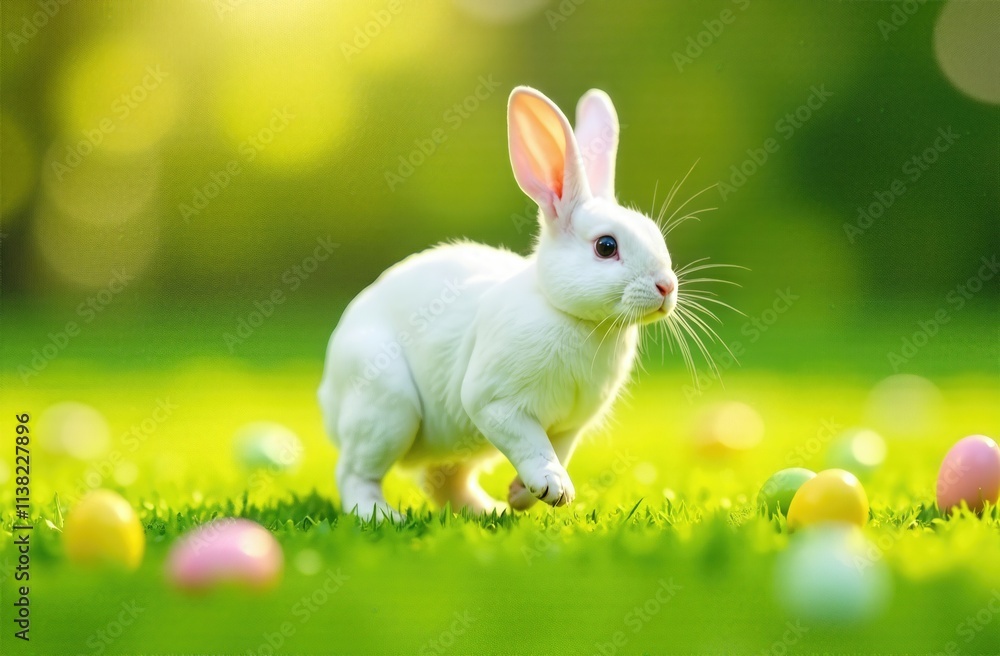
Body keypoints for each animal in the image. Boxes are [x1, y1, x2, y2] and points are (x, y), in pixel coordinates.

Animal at [318, 86, 679, 520]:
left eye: (655, 233)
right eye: (606, 246)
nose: (666, 287)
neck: (571, 316)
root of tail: (327, 393)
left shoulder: (568, 427)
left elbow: (556, 450)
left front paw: (522, 495)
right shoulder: (496, 403)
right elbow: (532, 445)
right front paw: (553, 487)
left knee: (443, 482)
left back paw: (488, 510)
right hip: (386, 408)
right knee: (355, 473)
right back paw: (380, 515)